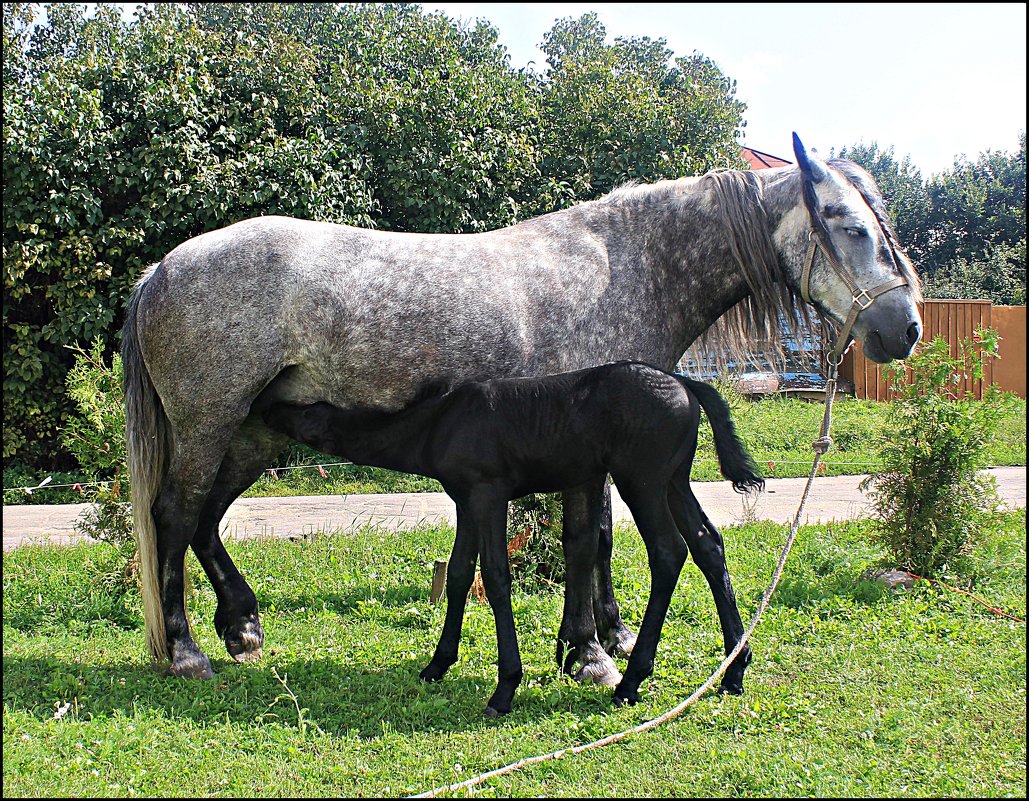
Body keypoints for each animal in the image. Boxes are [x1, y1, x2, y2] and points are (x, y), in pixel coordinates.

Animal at [263, 358, 765, 716]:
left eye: (305, 410)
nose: (264, 403)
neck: (438, 421)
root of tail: (685, 383)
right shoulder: (466, 500)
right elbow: (460, 574)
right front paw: (438, 664)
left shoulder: (489, 494)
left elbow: (496, 576)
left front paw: (505, 688)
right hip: (674, 481)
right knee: (707, 544)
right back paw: (733, 670)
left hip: (641, 480)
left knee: (668, 552)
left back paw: (632, 681)